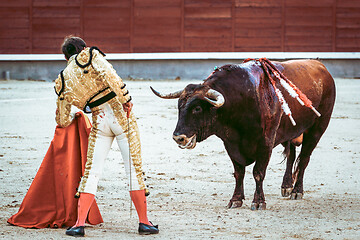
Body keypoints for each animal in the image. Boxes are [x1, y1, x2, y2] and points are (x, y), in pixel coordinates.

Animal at [150, 60, 336, 210]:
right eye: (179, 107)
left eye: (197, 108)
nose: (178, 137)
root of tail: (320, 65)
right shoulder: (230, 143)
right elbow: (239, 172)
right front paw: (236, 200)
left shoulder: (266, 142)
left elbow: (258, 172)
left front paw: (259, 202)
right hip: (290, 131)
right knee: (291, 155)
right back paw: (286, 186)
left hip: (318, 128)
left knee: (304, 158)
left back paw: (297, 191)